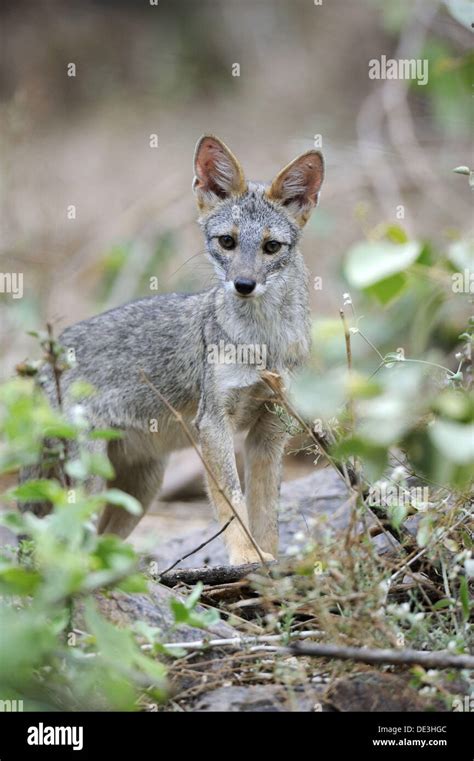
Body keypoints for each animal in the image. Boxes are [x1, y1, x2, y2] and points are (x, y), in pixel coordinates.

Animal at [25, 135, 322, 564]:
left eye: (271, 247)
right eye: (227, 242)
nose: (243, 284)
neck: (263, 341)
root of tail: (45, 362)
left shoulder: (270, 429)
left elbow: (266, 509)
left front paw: (269, 559)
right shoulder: (213, 424)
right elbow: (232, 502)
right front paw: (247, 559)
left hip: (143, 487)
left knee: (97, 545)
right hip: (91, 484)